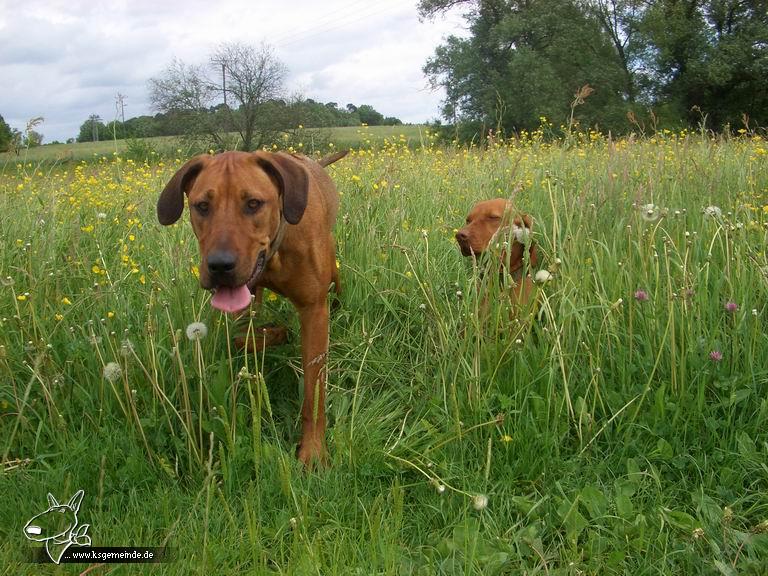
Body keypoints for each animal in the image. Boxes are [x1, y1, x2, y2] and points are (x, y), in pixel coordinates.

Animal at [158, 151, 346, 466]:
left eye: (253, 203)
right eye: (202, 206)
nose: (220, 266)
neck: (275, 253)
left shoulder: (315, 311)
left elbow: (314, 391)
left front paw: (313, 450)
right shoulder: (243, 306)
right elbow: (242, 339)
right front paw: (277, 333)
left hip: (333, 268)